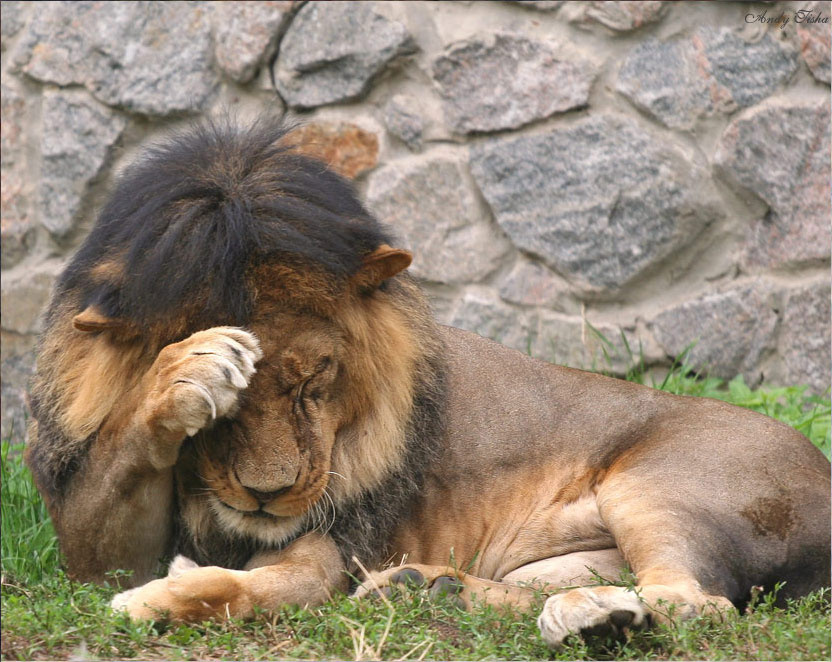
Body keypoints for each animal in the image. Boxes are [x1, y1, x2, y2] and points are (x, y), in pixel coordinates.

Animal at [25, 118, 830, 648]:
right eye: (223, 418)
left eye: (316, 379)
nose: (267, 495)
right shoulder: (95, 545)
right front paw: (190, 370)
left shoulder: (332, 537)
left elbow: (263, 587)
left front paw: (159, 603)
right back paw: (439, 589)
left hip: (662, 484)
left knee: (696, 602)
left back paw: (595, 620)